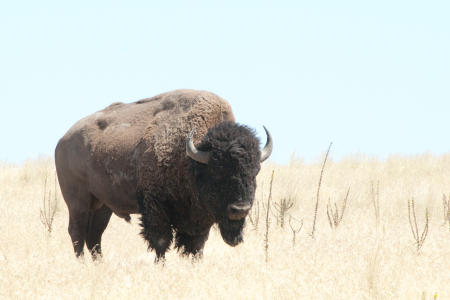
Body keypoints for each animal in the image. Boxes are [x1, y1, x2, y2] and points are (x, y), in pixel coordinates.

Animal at [56, 88, 274, 260]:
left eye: (255, 172)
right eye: (217, 172)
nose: (239, 209)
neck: (192, 161)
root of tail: (62, 141)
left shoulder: (198, 219)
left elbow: (196, 246)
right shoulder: (156, 207)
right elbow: (161, 241)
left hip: (102, 205)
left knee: (94, 235)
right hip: (78, 201)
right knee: (77, 232)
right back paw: (82, 264)